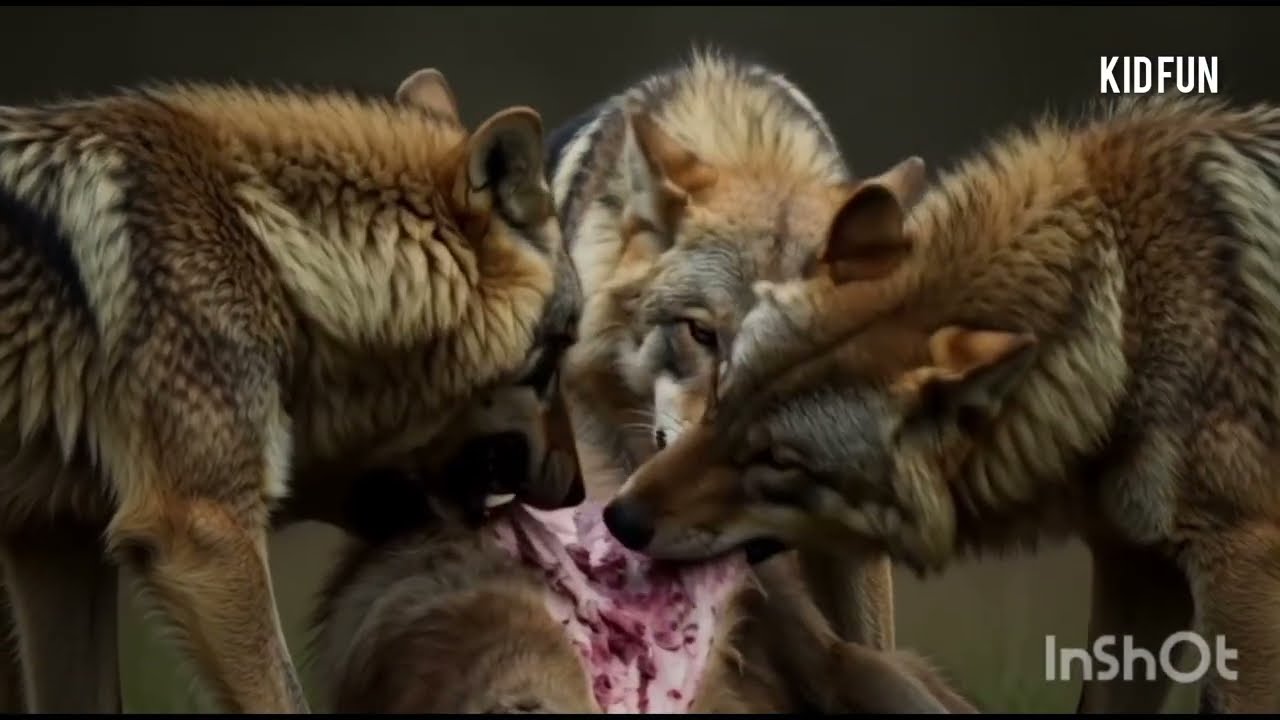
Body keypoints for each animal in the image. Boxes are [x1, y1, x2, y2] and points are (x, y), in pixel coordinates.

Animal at [604, 95, 1280, 713]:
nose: (619, 516)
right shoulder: (1133, 564)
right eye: (723, 392)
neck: (1125, 321)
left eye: (780, 460)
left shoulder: (1238, 562)